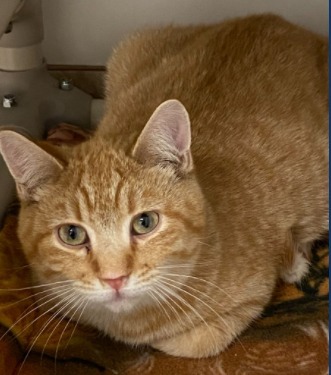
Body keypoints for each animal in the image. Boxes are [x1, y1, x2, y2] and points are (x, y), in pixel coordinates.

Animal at [0, 14, 328, 358]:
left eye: (145, 222)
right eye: (72, 235)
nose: (115, 279)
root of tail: (270, 18)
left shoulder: (248, 301)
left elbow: (186, 342)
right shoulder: (45, 289)